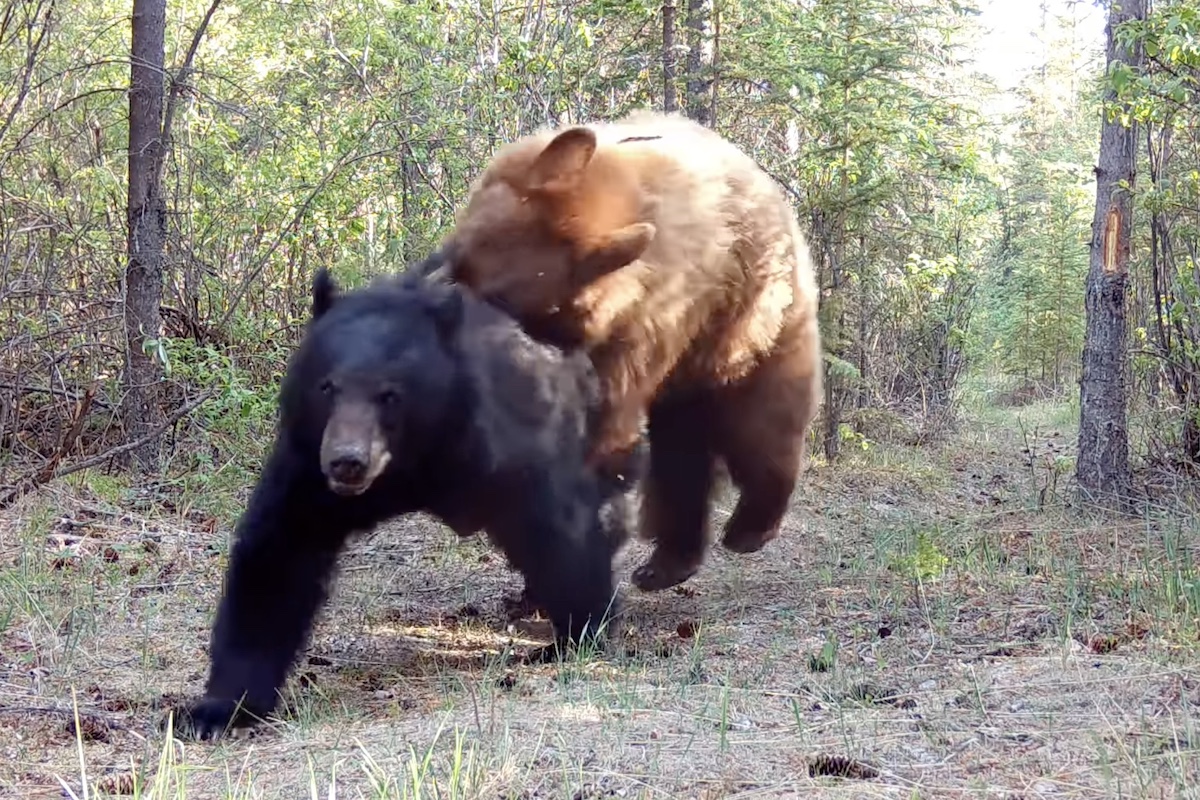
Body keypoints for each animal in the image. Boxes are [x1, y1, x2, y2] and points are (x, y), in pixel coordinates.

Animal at [167, 259, 643, 740]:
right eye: (327, 387)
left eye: (390, 394)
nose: (347, 462)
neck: (415, 460)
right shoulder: (307, 468)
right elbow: (278, 557)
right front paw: (218, 709)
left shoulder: (512, 440)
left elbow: (559, 529)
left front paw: (578, 635)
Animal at [437, 110, 823, 594]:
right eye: (460, 261)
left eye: (503, 298)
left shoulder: (644, 324)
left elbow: (602, 423)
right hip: (689, 375)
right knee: (683, 454)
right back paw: (666, 564)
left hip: (750, 324)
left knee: (760, 421)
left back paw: (750, 527)